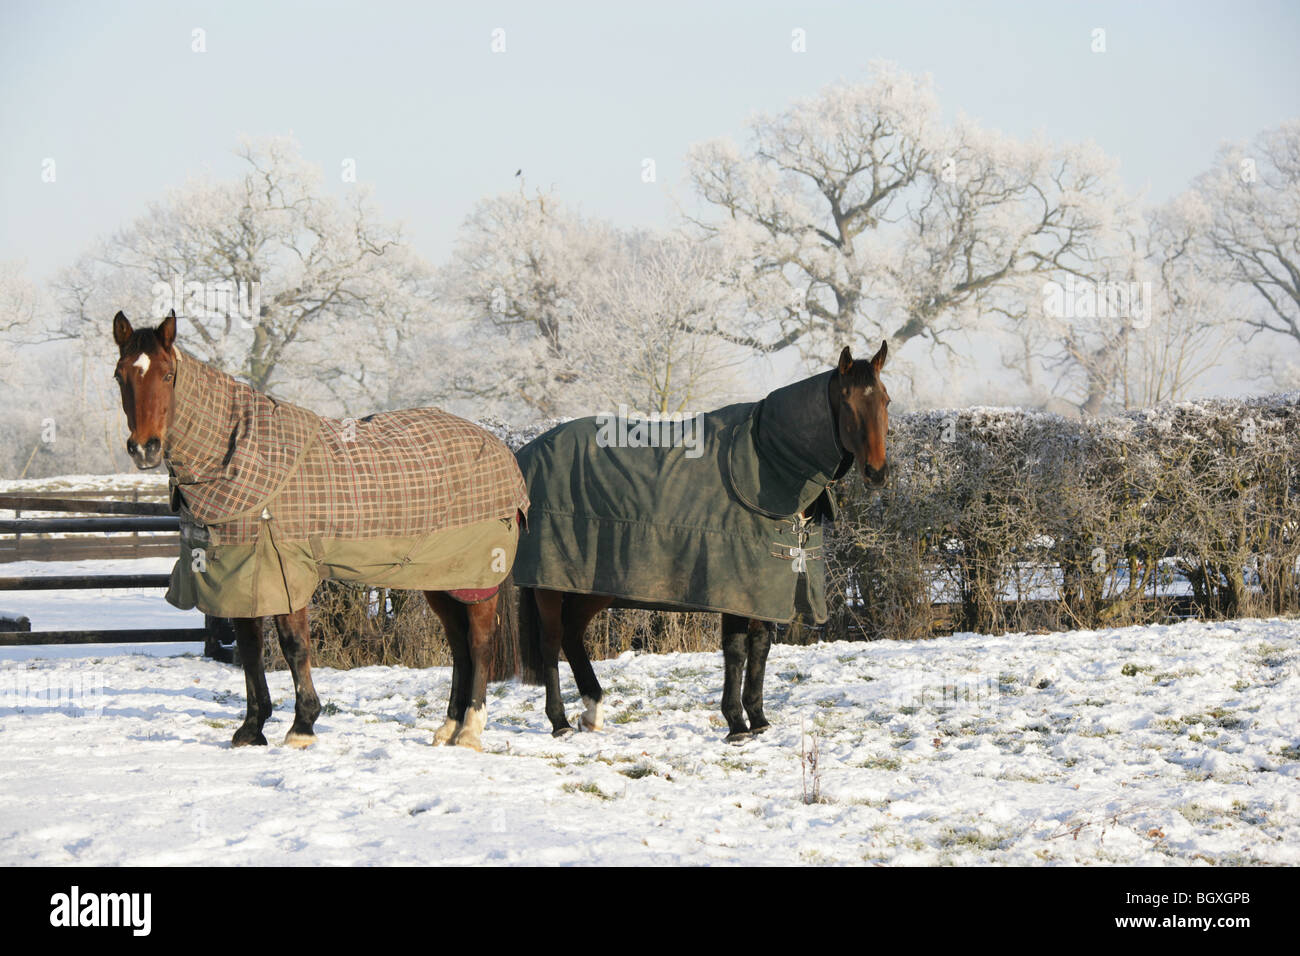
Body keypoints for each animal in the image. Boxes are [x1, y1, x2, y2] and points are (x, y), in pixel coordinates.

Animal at [111, 310, 527, 749]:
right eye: (121, 375)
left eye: (168, 374)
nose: (145, 448)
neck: (243, 459)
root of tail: (502, 449)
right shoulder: (242, 577)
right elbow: (251, 648)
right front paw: (251, 728)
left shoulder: (286, 570)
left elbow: (294, 647)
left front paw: (302, 726)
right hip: (440, 580)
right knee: (459, 646)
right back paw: (447, 727)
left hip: (475, 579)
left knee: (479, 644)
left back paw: (469, 730)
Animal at [506, 343, 883, 738]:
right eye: (848, 401)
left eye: (884, 400)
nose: (878, 471)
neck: (767, 462)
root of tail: (525, 454)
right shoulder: (735, 588)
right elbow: (736, 650)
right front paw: (736, 724)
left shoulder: (767, 589)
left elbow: (760, 648)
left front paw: (759, 720)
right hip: (550, 582)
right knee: (551, 641)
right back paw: (559, 721)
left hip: (591, 586)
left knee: (572, 635)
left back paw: (593, 713)